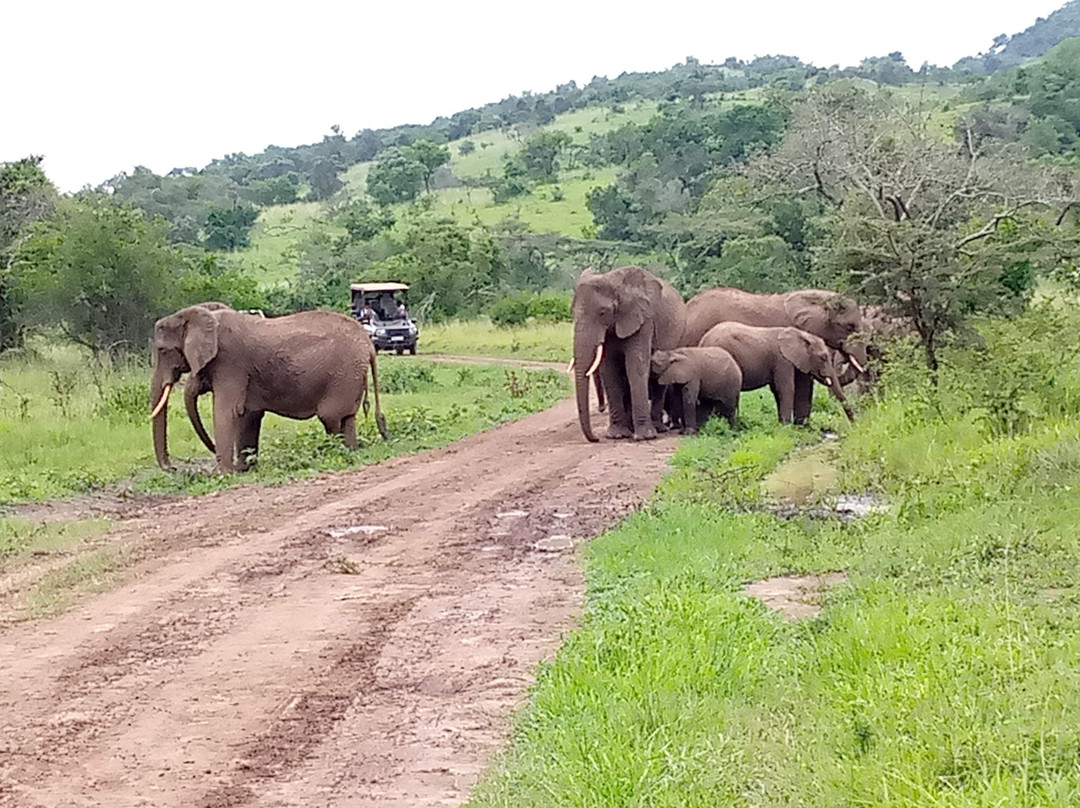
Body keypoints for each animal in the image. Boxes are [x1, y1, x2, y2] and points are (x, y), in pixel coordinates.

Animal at [150, 306, 388, 477]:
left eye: (163, 351)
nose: (172, 468)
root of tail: (368, 344)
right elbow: (248, 415)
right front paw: (244, 469)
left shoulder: (231, 363)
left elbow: (227, 411)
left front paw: (223, 474)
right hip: (351, 375)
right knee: (347, 418)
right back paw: (351, 452)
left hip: (344, 373)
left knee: (331, 417)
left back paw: (336, 453)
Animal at [570, 266, 686, 442]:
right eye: (572, 313)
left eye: (603, 312)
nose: (596, 438)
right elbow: (610, 370)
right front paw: (617, 435)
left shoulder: (643, 320)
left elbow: (636, 365)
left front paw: (644, 437)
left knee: (659, 382)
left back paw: (658, 429)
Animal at [699, 324, 851, 425]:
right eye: (823, 358)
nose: (853, 425)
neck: (802, 334)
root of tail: (703, 341)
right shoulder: (782, 360)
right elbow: (786, 388)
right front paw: (786, 427)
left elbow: (783, 390)